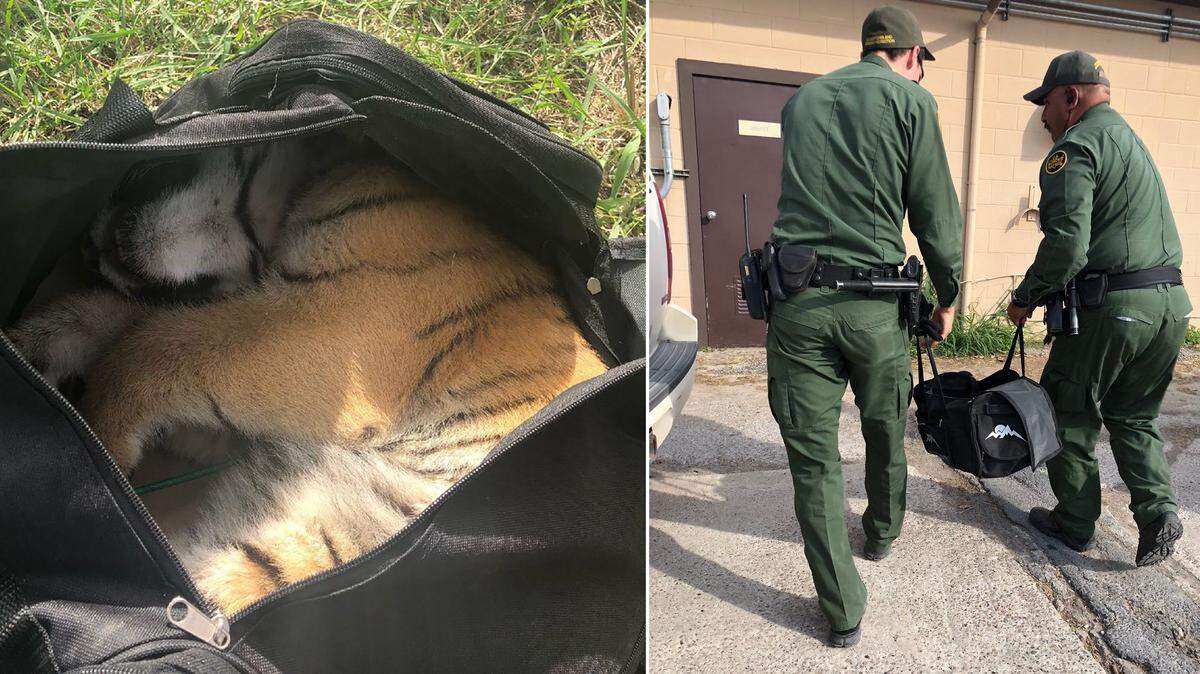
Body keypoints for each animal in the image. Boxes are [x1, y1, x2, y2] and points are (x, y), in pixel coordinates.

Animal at [6, 135, 609, 614]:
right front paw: (34, 347)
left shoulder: (329, 327)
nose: (90, 248)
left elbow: (154, 347)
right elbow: (130, 320)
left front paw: (101, 441)